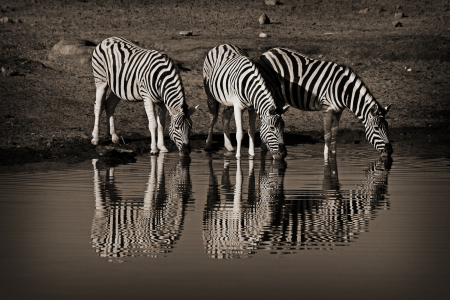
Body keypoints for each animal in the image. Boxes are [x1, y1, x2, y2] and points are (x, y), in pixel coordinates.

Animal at [256, 48, 394, 161]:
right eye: (376, 128)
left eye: (387, 127)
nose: (389, 151)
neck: (344, 90)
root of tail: (267, 52)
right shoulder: (327, 108)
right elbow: (327, 135)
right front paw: (326, 157)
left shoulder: (338, 110)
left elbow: (335, 134)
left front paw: (333, 155)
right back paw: (263, 149)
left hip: (279, 98)